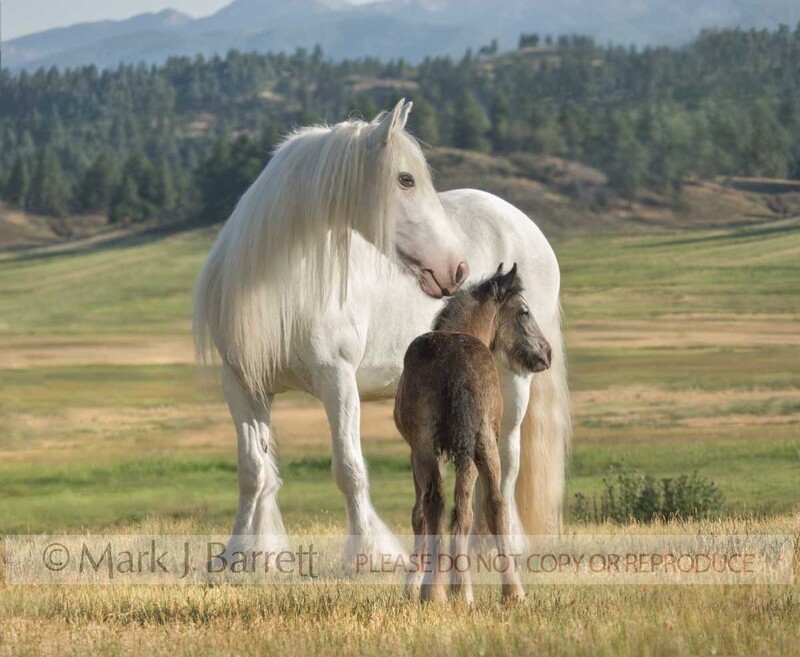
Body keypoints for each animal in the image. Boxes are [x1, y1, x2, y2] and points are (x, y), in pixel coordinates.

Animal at [193, 99, 570, 561]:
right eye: (405, 179)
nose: (456, 268)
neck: (283, 286)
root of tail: (525, 225)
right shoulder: (243, 385)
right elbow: (253, 471)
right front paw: (243, 554)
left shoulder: (337, 381)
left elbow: (348, 469)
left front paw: (369, 554)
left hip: (512, 380)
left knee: (506, 461)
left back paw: (497, 545)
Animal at [394, 263, 550, 603]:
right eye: (524, 312)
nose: (547, 353)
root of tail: (458, 368)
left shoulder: (421, 451)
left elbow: (421, 514)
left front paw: (415, 584)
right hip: (481, 443)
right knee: (490, 505)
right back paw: (506, 591)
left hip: (431, 447)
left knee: (440, 504)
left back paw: (438, 591)